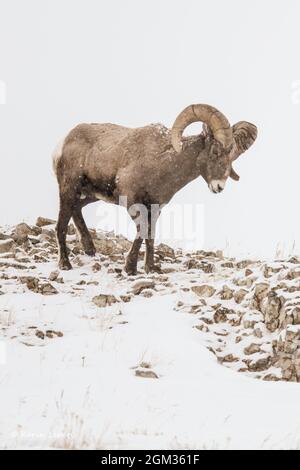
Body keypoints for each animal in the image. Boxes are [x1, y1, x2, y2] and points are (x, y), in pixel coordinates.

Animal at [52, 103, 256, 272]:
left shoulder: (155, 207)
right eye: (214, 151)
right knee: (61, 225)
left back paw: (89, 249)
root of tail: (63, 143)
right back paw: (65, 264)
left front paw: (150, 268)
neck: (162, 163)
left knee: (76, 210)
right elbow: (142, 230)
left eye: (231, 156)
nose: (219, 187)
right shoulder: (133, 202)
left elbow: (150, 234)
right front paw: (130, 268)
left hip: (88, 195)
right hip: (68, 190)